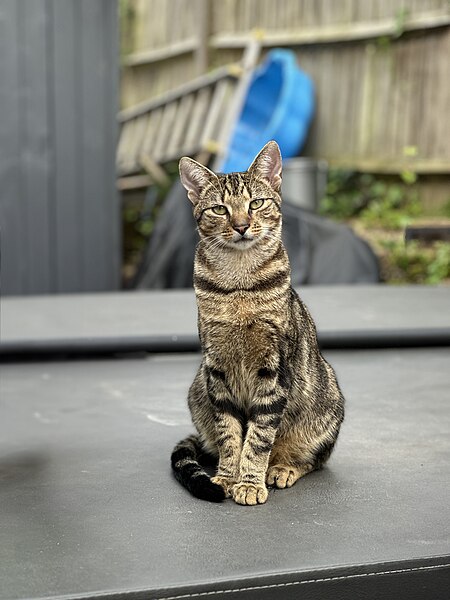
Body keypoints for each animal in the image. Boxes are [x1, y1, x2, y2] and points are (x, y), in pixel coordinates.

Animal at [171, 143, 344, 504]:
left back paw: (282, 468)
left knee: (313, 458)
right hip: (198, 389)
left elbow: (260, 436)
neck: (239, 286)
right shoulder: (217, 368)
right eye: (219, 209)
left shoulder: (273, 369)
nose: (240, 225)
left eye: (256, 203)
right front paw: (227, 477)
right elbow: (229, 434)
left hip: (327, 403)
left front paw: (250, 482)